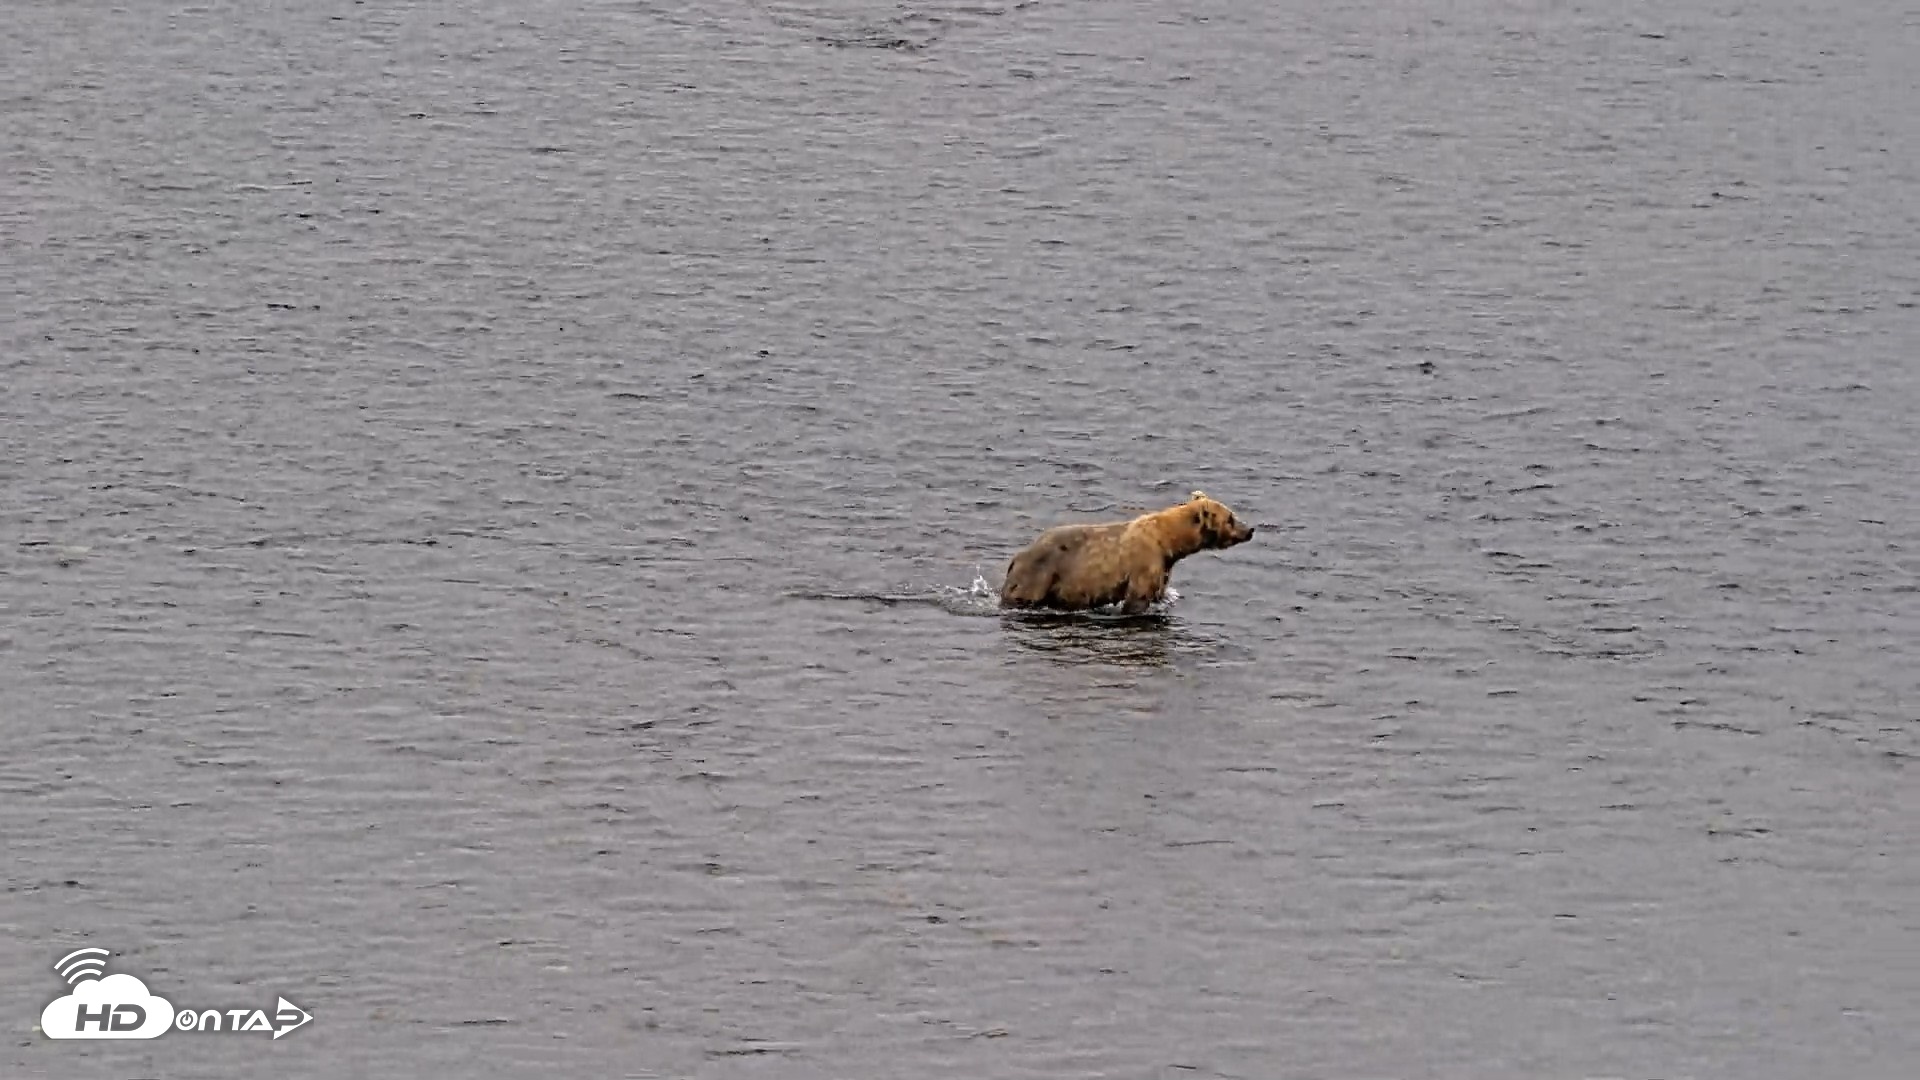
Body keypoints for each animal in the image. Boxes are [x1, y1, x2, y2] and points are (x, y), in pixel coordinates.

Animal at [999, 491, 1255, 614]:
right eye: (1231, 518)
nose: (1250, 529)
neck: (1168, 542)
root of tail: (1017, 556)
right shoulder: (1144, 563)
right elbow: (1138, 599)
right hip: (1040, 575)